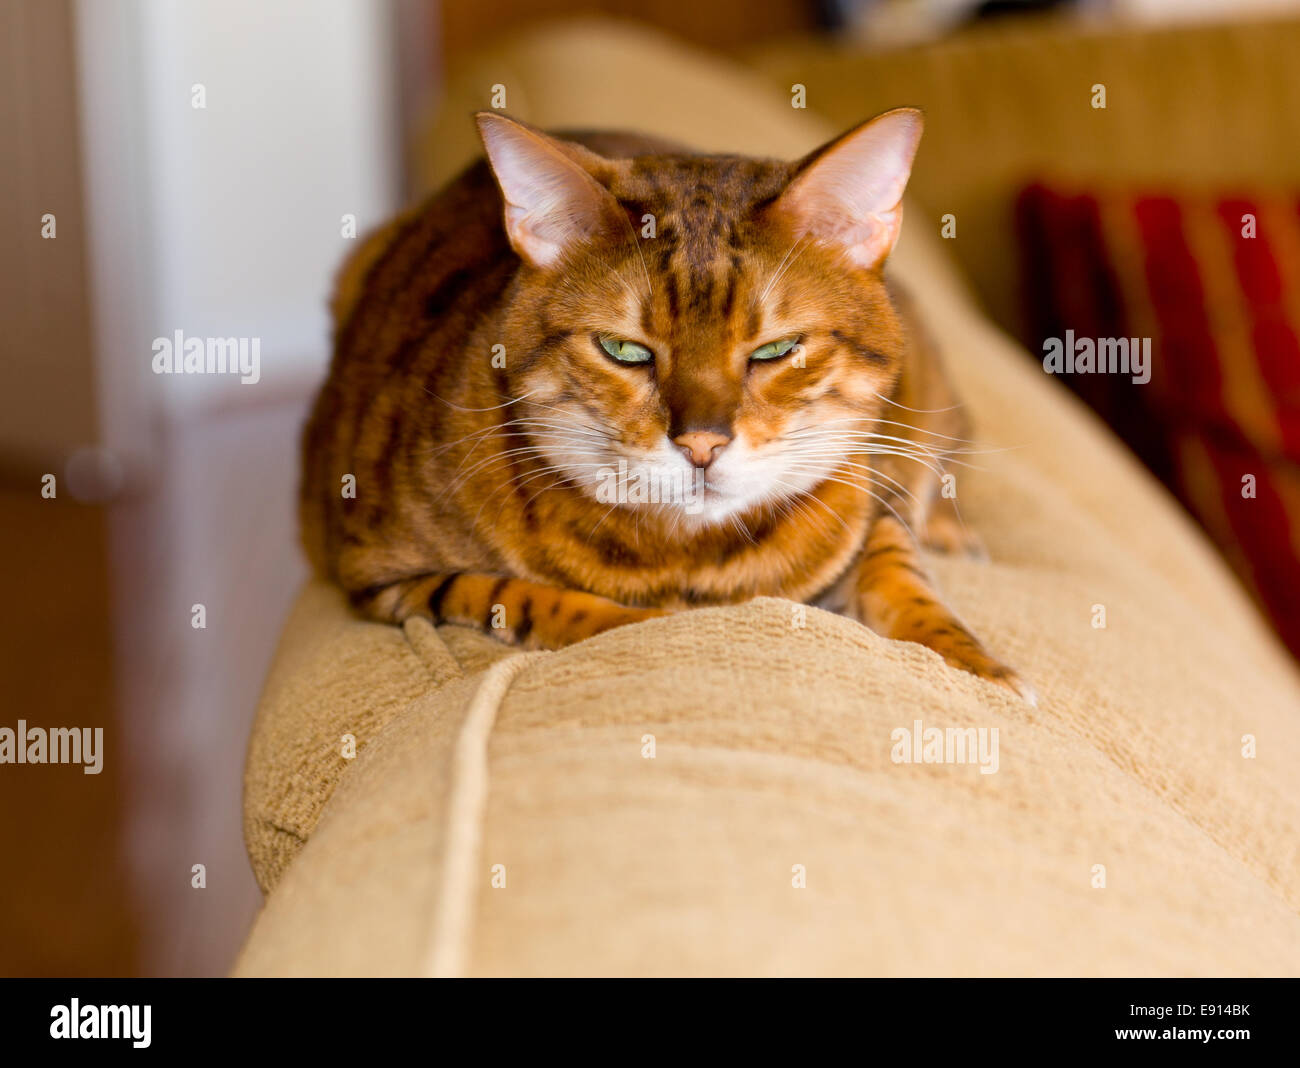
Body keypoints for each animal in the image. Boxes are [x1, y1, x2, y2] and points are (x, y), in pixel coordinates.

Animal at [297, 108, 1034, 706]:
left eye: (777, 349)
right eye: (624, 350)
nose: (701, 444)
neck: (694, 559)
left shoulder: (864, 497)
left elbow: (897, 572)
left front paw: (976, 663)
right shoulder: (383, 573)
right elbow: (519, 594)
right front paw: (637, 624)